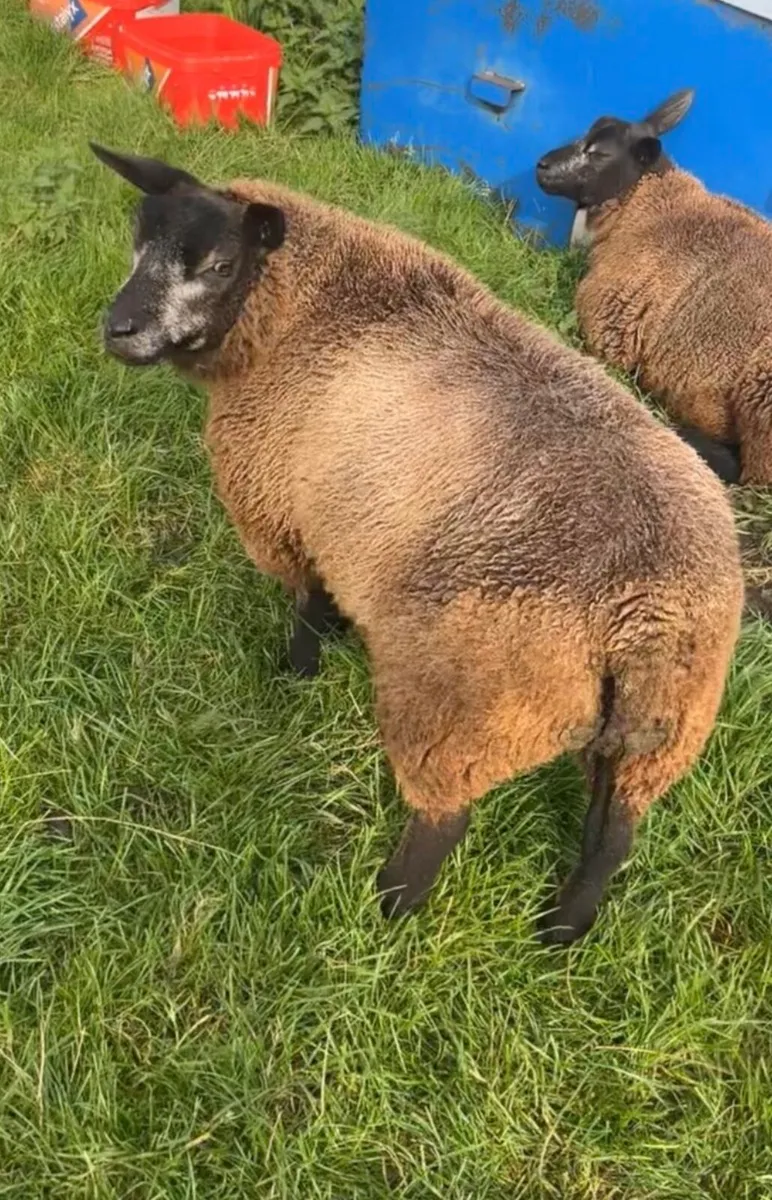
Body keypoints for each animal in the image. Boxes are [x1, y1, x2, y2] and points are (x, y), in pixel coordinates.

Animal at [90, 143, 744, 944]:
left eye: (218, 265)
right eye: (137, 240)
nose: (118, 327)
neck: (298, 314)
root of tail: (650, 613)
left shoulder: (289, 508)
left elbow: (308, 604)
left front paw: (298, 673)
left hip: (467, 702)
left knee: (444, 817)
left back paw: (388, 906)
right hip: (659, 731)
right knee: (610, 835)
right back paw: (560, 932)